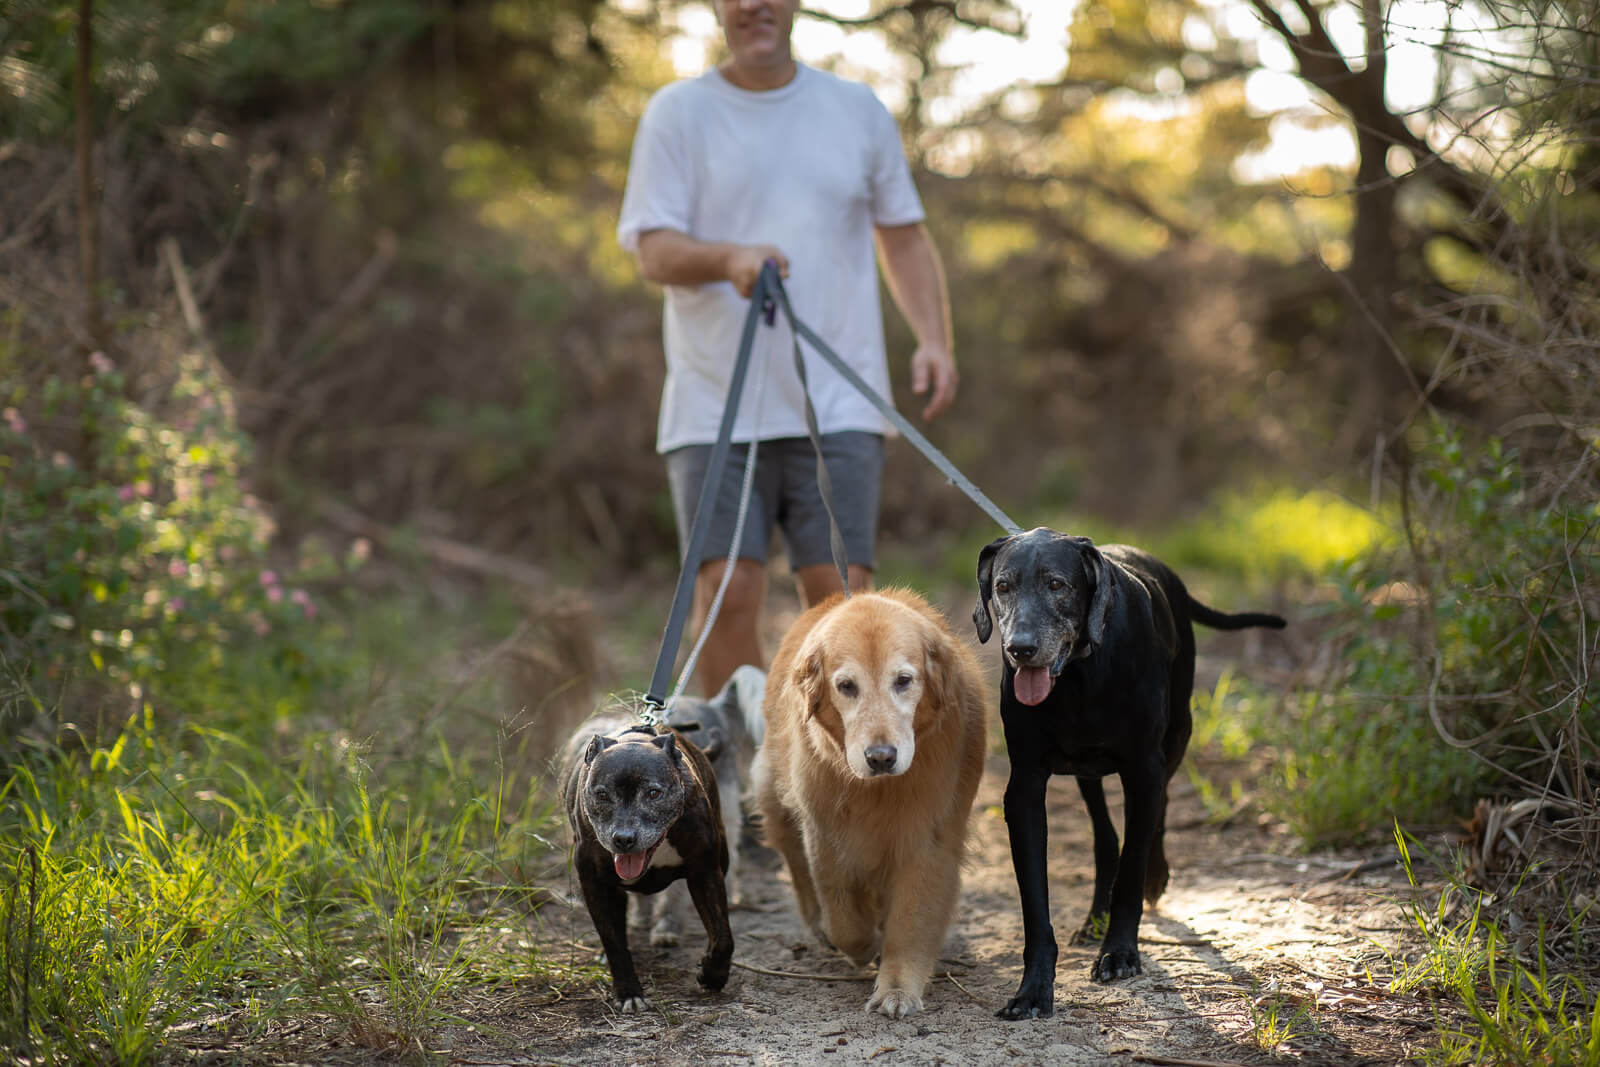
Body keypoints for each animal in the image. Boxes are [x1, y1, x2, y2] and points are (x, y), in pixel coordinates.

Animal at [560, 713, 732, 1017]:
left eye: (653, 793)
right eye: (602, 794)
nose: (623, 838)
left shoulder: (706, 873)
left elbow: (722, 934)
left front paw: (712, 975)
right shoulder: (596, 884)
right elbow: (614, 942)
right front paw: (629, 992)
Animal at [972, 531, 1286, 1023]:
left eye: (1057, 584)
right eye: (1002, 586)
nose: (1020, 648)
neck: (1081, 673)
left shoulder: (1143, 769)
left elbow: (1133, 865)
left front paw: (1119, 952)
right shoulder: (1024, 789)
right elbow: (1036, 904)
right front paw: (1033, 989)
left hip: (1176, 737)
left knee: (1159, 812)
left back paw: (1155, 878)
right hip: (1085, 770)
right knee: (1105, 834)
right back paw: (1093, 915)